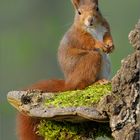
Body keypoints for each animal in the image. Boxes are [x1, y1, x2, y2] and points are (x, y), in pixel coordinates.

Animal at [17, 0, 114, 139]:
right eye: (79, 12)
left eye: (97, 8)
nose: (90, 20)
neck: (94, 28)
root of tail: (68, 83)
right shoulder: (78, 37)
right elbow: (89, 43)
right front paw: (100, 44)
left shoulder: (105, 26)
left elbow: (108, 36)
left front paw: (111, 45)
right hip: (91, 60)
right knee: (81, 85)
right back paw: (97, 82)